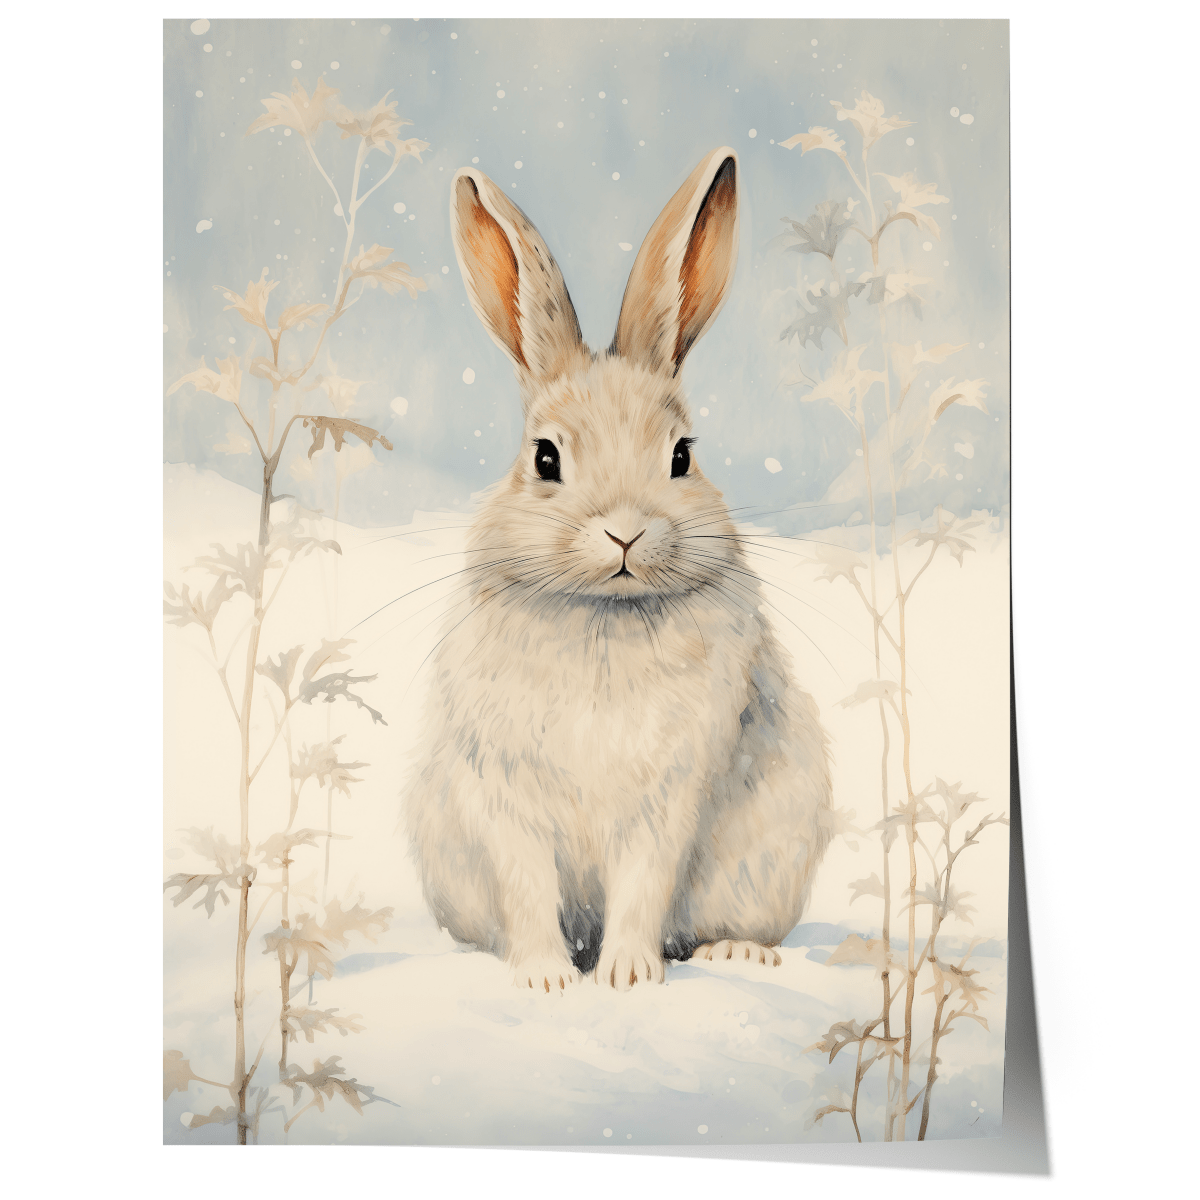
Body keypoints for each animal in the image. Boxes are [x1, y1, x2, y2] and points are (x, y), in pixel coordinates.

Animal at [402, 146, 832, 992]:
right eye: (545, 458)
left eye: (682, 456)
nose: (625, 533)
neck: (603, 615)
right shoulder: (505, 794)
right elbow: (527, 886)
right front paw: (545, 978)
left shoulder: (668, 796)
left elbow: (644, 884)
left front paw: (627, 976)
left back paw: (736, 952)